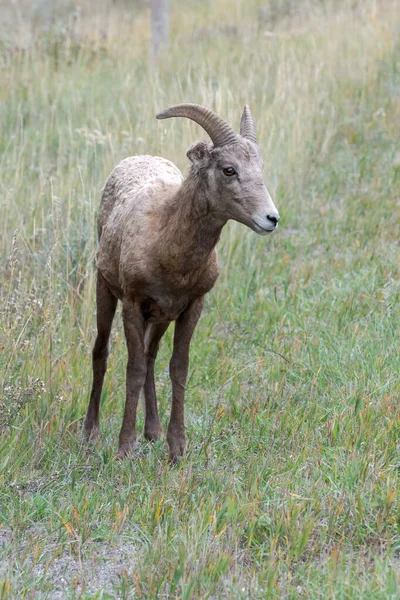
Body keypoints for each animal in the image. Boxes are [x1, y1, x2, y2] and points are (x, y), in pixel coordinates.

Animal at [83, 103, 280, 462]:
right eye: (229, 170)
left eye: (259, 167)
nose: (271, 219)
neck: (167, 242)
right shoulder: (132, 306)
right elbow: (133, 370)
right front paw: (124, 449)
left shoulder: (190, 308)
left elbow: (178, 369)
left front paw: (177, 449)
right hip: (104, 290)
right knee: (101, 352)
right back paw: (90, 433)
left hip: (160, 318)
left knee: (151, 356)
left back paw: (153, 432)